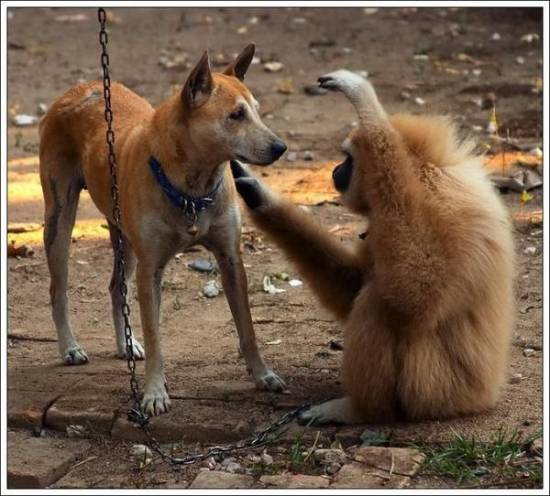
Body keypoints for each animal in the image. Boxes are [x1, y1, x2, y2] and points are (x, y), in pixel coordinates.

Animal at [38, 45, 288, 414]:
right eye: (235, 115)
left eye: (256, 112)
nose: (280, 147)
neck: (193, 189)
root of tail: (80, 89)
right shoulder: (151, 270)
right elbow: (156, 338)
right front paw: (154, 393)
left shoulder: (231, 261)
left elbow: (247, 328)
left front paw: (263, 375)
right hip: (60, 219)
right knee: (58, 288)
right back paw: (70, 347)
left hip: (124, 238)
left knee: (116, 288)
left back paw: (126, 345)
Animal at [231, 70, 516, 424]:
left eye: (348, 159)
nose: (336, 170)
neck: (422, 176)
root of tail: (483, 396)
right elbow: (353, 283)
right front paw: (258, 194)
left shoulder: (443, 207)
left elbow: (416, 294)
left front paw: (366, 105)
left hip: (435, 391)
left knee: (377, 302)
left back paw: (359, 410)